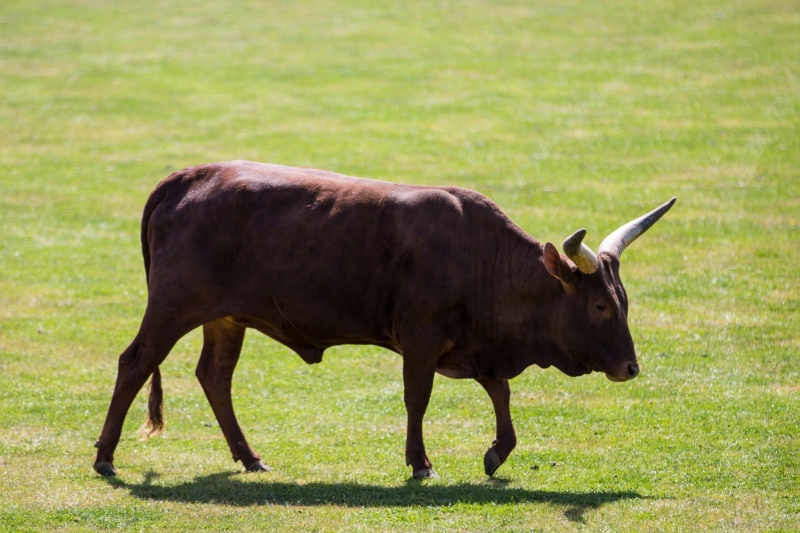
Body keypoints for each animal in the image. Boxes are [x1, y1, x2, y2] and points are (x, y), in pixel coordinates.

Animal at [92, 161, 676, 478]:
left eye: (624, 301)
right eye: (599, 306)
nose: (630, 368)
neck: (479, 254)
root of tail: (186, 177)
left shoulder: (479, 346)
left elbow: (500, 392)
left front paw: (497, 451)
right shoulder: (420, 338)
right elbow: (418, 397)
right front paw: (420, 461)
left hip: (226, 317)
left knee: (214, 376)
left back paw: (249, 456)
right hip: (173, 307)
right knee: (135, 362)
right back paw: (105, 457)